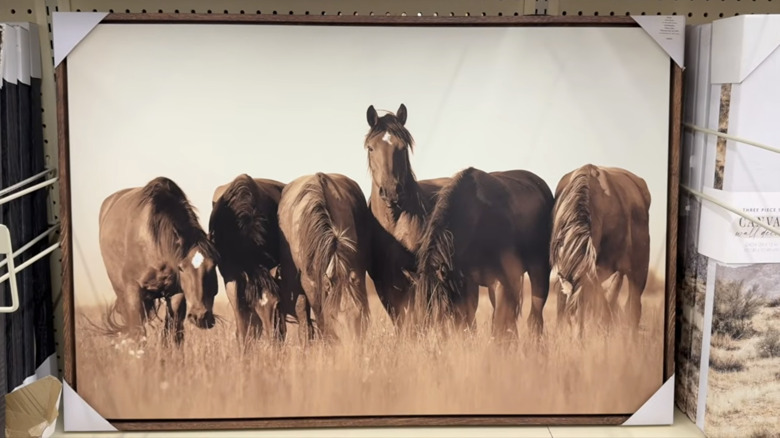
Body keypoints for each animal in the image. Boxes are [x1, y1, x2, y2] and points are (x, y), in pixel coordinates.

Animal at [98, 176, 219, 348]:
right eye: (181, 268)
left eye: (214, 264)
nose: (200, 316)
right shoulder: (133, 291)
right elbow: (137, 334)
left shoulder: (177, 294)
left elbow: (173, 334)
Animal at [363, 103, 459, 330]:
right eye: (371, 148)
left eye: (403, 147)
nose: (391, 191)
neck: (393, 225)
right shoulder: (384, 282)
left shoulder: (419, 277)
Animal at [410, 167, 555, 339]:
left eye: (441, 307)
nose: (431, 340)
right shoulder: (467, 283)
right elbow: (469, 322)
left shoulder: (502, 280)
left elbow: (499, 322)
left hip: (539, 270)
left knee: (535, 316)